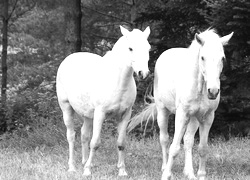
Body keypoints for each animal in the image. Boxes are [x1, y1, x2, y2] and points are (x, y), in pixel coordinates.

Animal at [56, 26, 150, 176]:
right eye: (130, 48)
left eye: (148, 48)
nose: (143, 73)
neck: (118, 81)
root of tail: (69, 58)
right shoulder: (100, 114)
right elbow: (95, 143)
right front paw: (87, 171)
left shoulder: (125, 114)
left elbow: (121, 143)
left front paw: (122, 171)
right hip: (66, 108)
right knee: (71, 136)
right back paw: (72, 167)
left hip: (88, 115)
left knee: (84, 134)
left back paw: (84, 162)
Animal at [128, 28, 233, 179]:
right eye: (202, 57)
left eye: (222, 58)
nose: (213, 91)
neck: (199, 88)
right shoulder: (181, 115)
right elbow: (174, 147)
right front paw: (167, 175)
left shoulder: (207, 117)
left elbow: (202, 148)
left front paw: (200, 175)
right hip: (162, 112)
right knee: (164, 139)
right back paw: (164, 167)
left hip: (193, 118)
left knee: (188, 140)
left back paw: (189, 173)